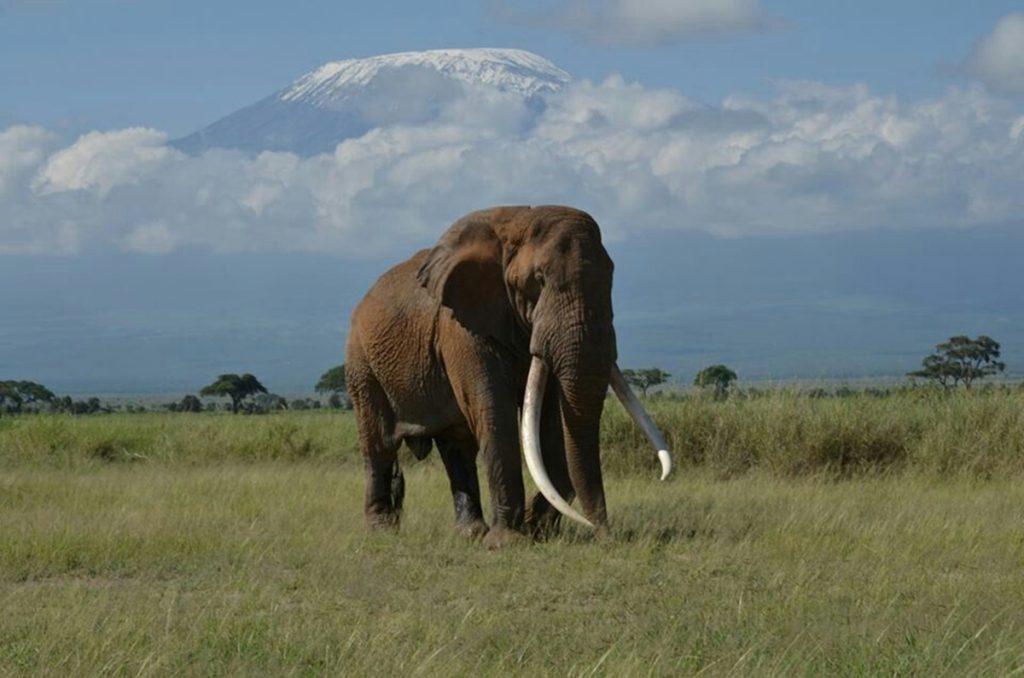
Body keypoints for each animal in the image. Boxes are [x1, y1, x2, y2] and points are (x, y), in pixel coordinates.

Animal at [348, 204, 675, 548]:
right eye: (539, 280)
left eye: (611, 278)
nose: (603, 534)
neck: (518, 221)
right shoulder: (461, 327)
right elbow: (494, 410)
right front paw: (508, 541)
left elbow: (551, 420)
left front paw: (537, 530)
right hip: (362, 364)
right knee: (379, 443)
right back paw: (382, 529)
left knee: (457, 445)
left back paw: (471, 532)